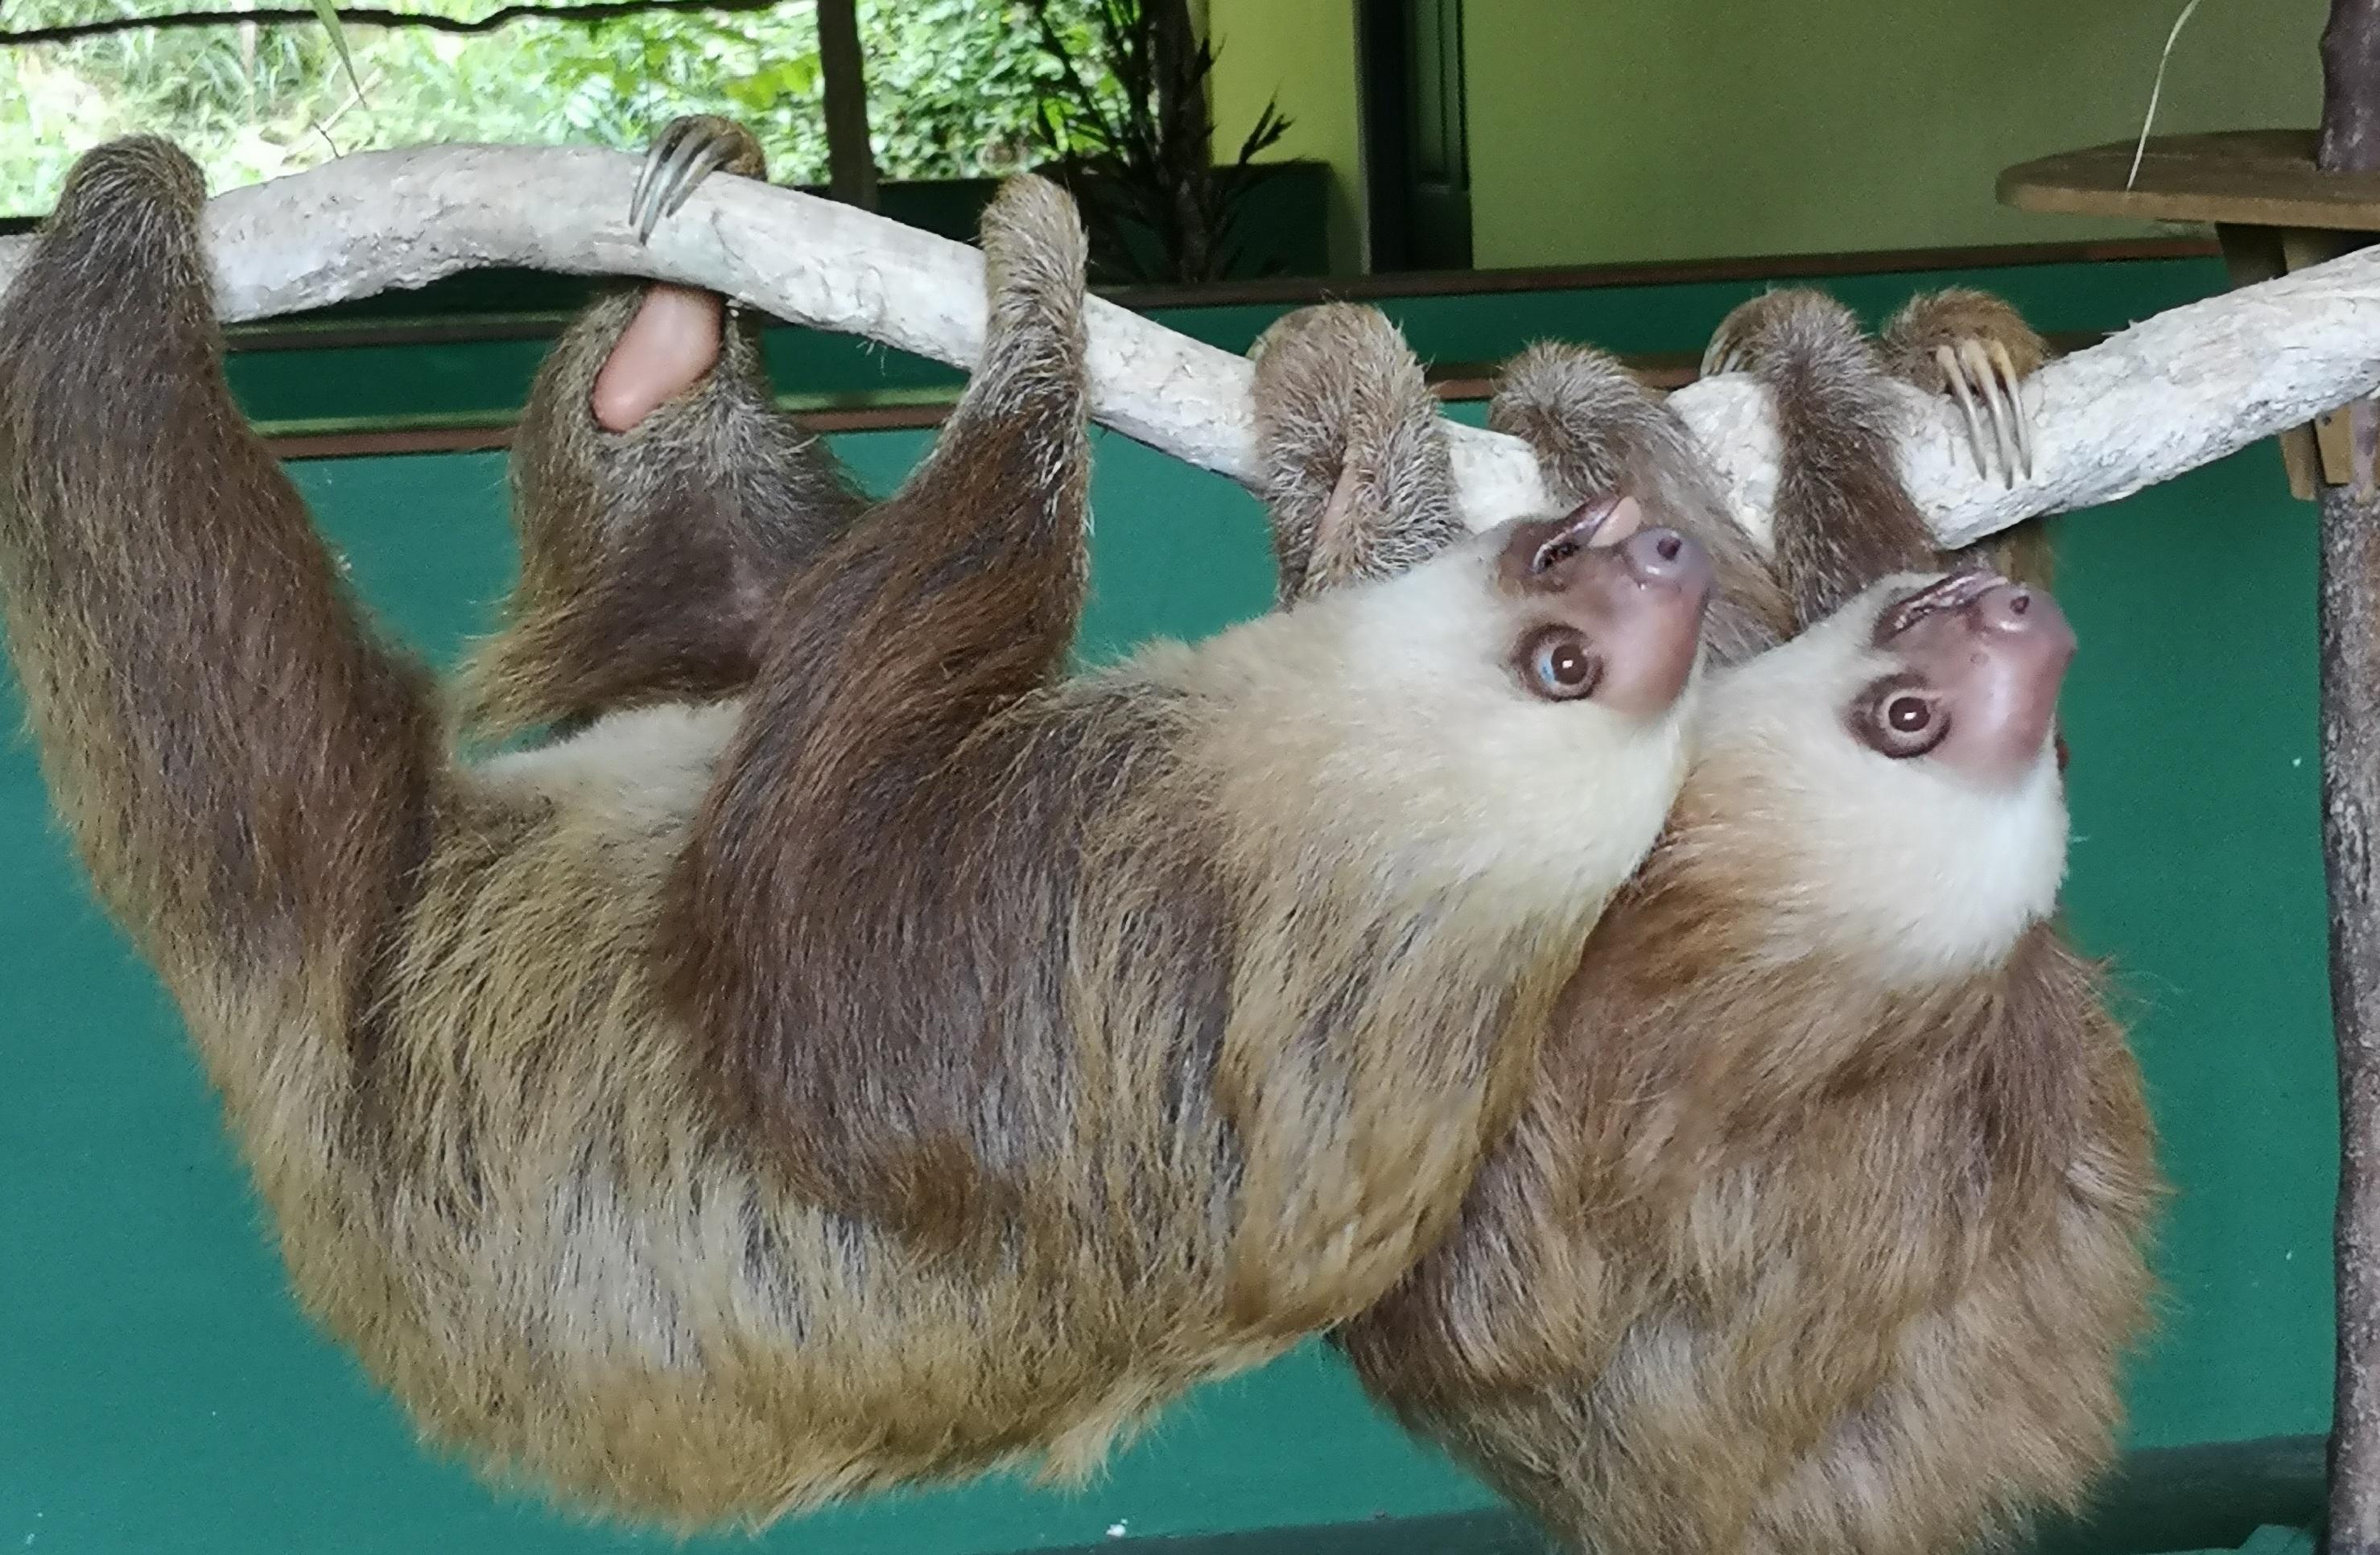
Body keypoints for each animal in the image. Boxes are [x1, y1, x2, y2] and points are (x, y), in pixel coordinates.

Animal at [0, 137, 1719, 1530]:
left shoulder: (1059, 910)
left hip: (341, 972)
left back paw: (120, 239)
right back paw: (666, 340)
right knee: (719, 609)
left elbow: (792, 880)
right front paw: (1364, 415)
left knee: (208, 674)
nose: (1657, 550)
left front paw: (1039, 300)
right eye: (1562, 587)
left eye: (1562, 657)